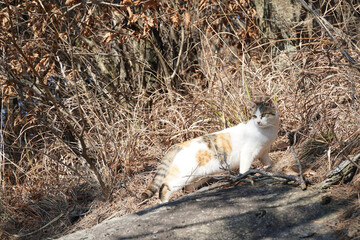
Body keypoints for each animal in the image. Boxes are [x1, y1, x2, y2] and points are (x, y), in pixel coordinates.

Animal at [142, 98, 280, 202]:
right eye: (254, 116)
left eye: (263, 115)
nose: (258, 122)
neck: (267, 131)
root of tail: (179, 145)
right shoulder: (248, 153)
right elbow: (244, 169)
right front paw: (248, 177)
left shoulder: (264, 152)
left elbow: (268, 163)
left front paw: (269, 170)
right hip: (181, 175)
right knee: (165, 187)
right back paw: (164, 203)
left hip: (196, 177)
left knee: (187, 188)